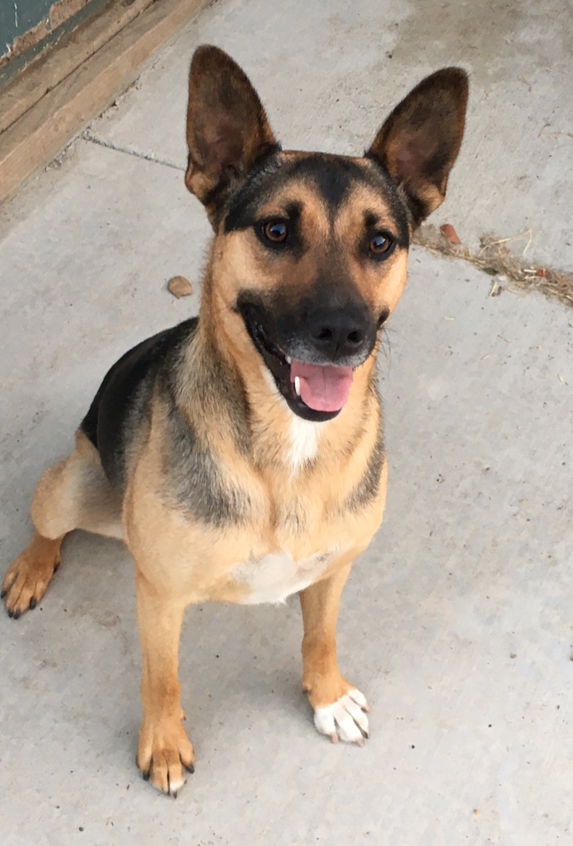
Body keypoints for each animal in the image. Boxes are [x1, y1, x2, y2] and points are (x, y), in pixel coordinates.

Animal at [1, 46, 464, 800]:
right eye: (276, 230)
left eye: (380, 241)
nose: (344, 332)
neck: (287, 447)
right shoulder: (159, 596)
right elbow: (161, 678)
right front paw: (163, 745)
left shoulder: (335, 569)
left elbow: (320, 636)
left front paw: (326, 695)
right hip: (74, 484)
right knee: (48, 523)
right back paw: (32, 568)